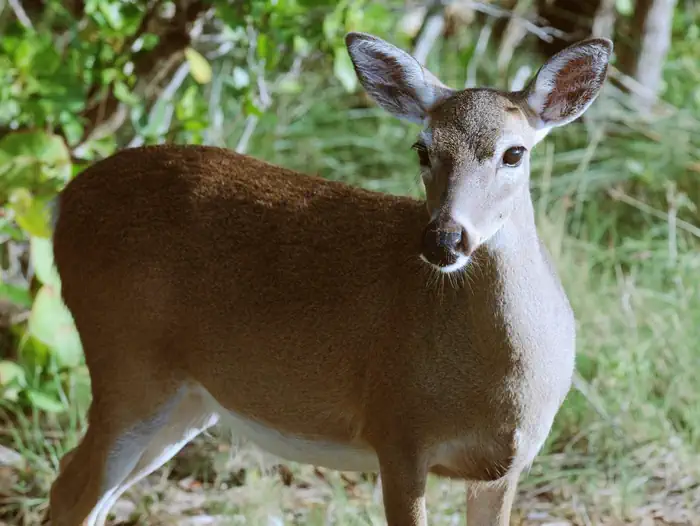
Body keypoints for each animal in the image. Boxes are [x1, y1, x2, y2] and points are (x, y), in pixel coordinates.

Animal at [45, 32, 612, 526]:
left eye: (514, 152)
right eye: (423, 148)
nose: (444, 239)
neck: (498, 385)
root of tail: (62, 202)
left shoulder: (503, 467)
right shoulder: (397, 432)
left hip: (187, 400)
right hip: (127, 360)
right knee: (72, 488)